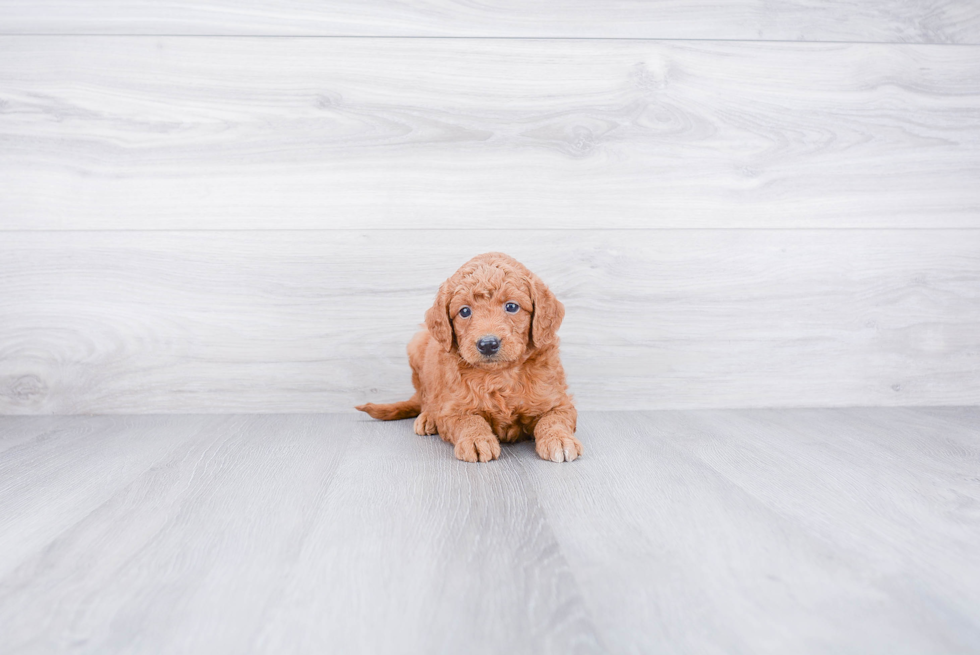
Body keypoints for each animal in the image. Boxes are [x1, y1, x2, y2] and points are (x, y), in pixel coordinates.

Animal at [354, 254, 580, 464]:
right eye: (464, 311)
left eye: (512, 307)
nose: (487, 344)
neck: (499, 375)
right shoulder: (453, 408)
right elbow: (468, 420)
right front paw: (476, 439)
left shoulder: (558, 401)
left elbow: (554, 419)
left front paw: (559, 439)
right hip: (417, 346)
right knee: (424, 397)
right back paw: (428, 418)